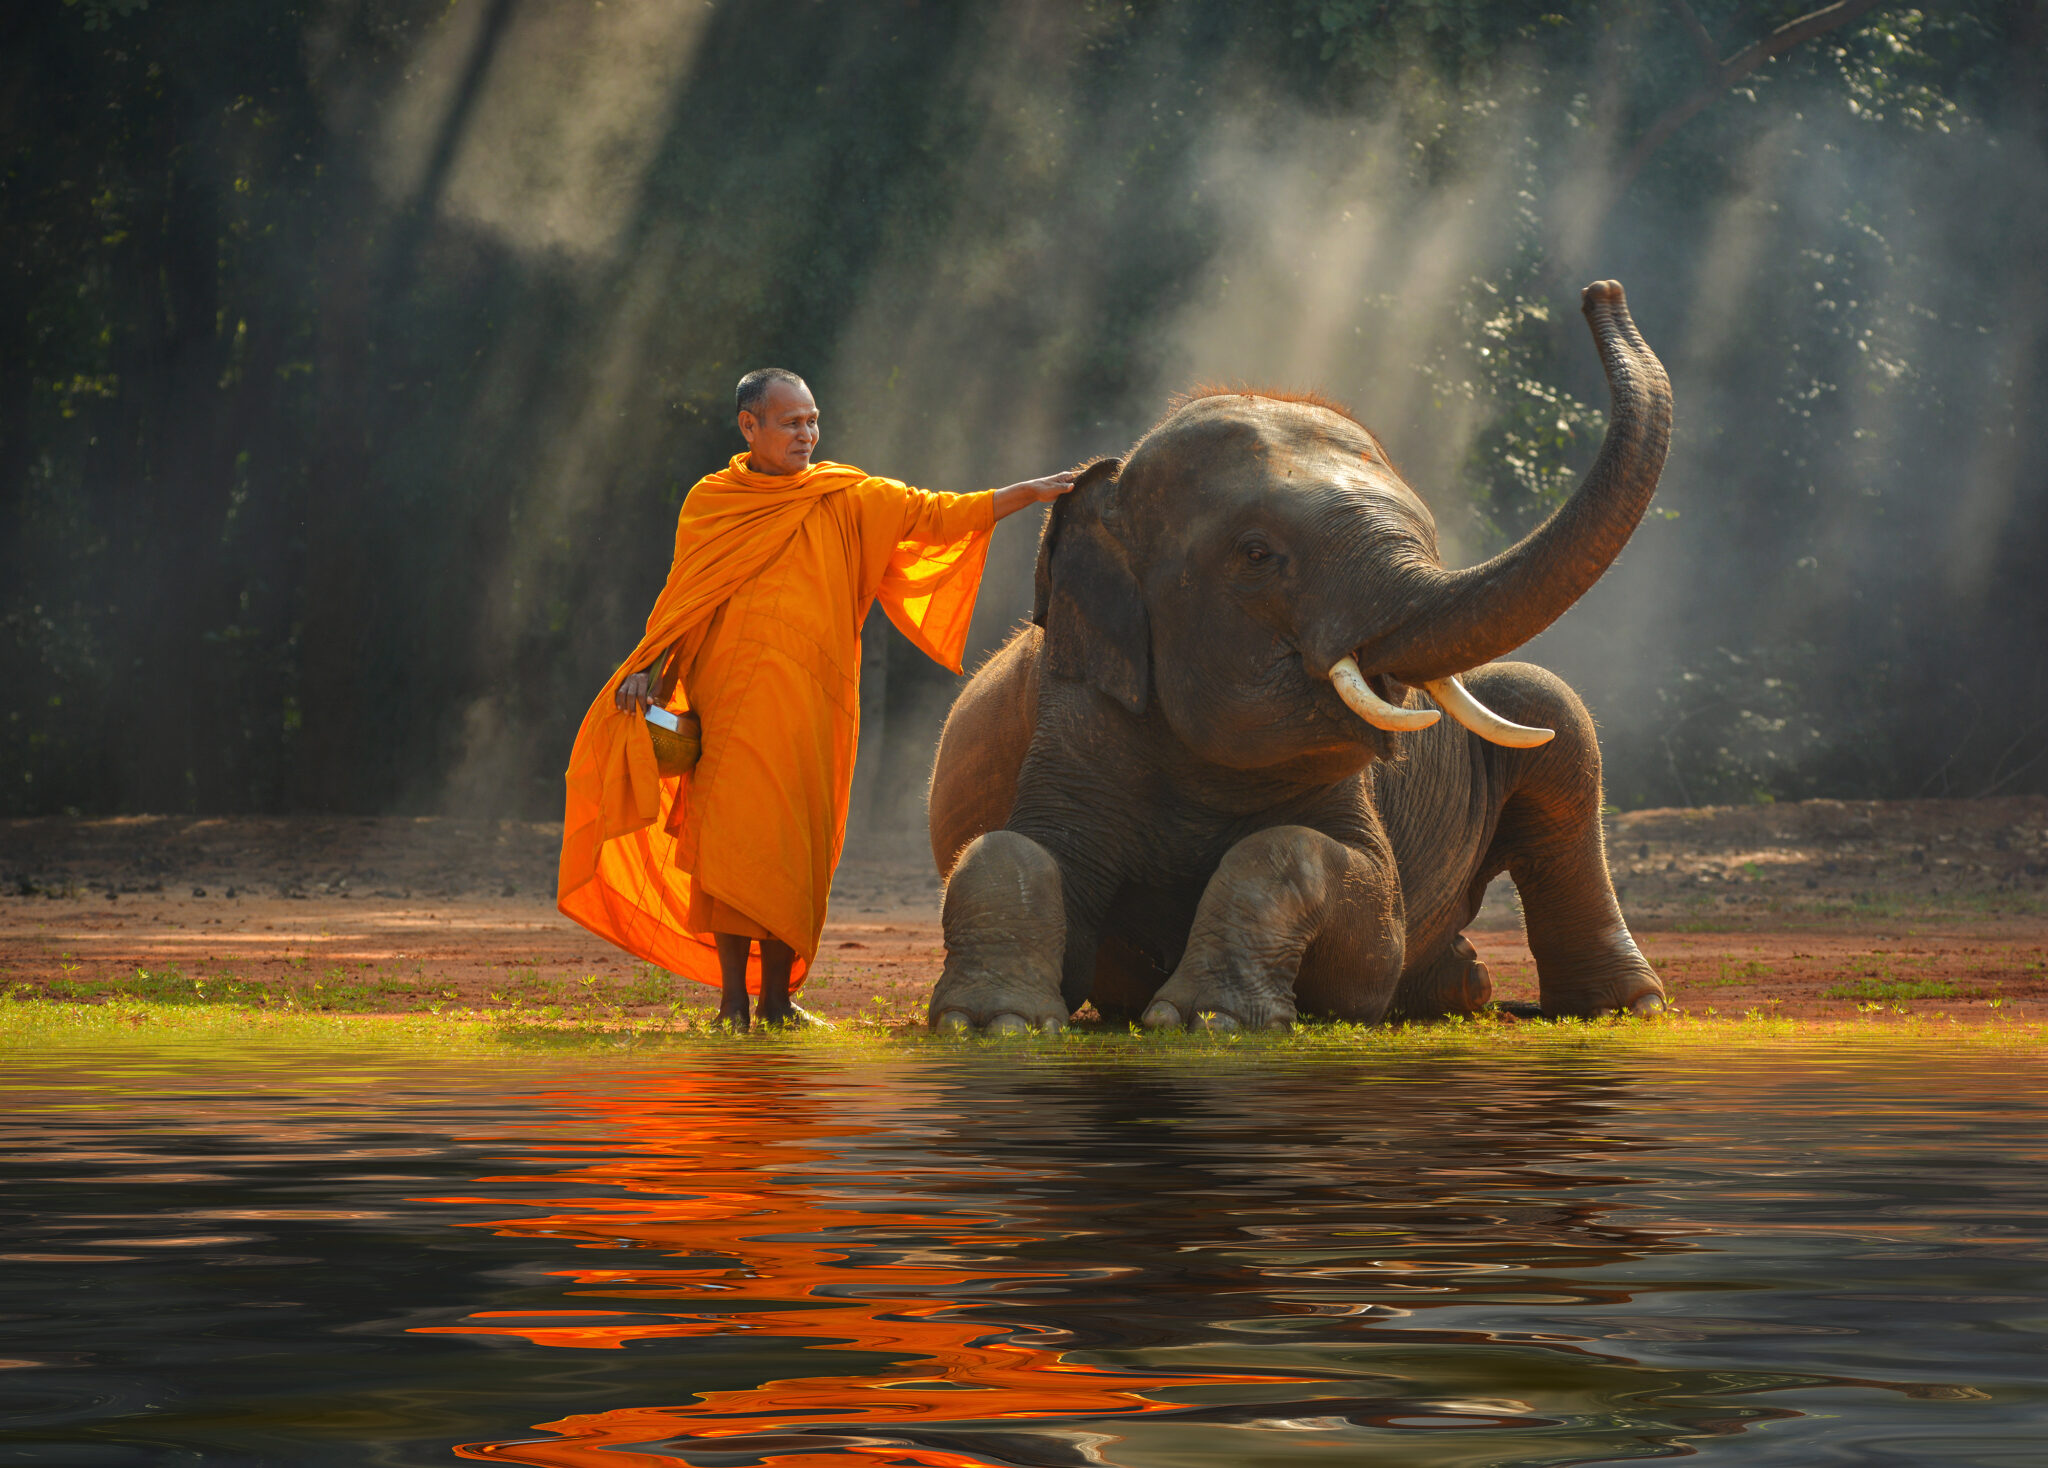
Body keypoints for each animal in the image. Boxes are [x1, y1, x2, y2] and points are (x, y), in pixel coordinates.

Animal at [925, 281, 1672, 1034]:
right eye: (1257, 553)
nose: (1601, 291)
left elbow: (1364, 919)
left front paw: (1209, 1020)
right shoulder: (1076, 719)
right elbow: (1015, 852)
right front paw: (991, 1023)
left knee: (1555, 725)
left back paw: (1620, 1007)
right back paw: (1472, 986)